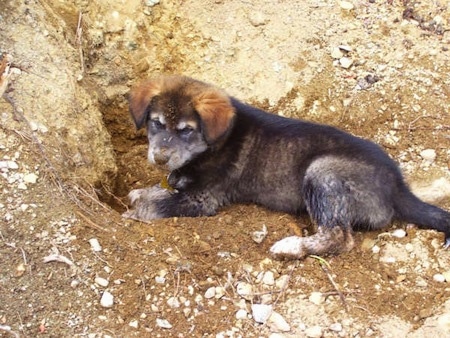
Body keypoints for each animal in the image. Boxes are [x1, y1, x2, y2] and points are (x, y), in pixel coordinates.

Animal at [123, 74, 450, 258]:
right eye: (156, 123)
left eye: (186, 130)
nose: (160, 158)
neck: (212, 144)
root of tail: (398, 186)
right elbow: (162, 190)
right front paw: (143, 192)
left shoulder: (203, 199)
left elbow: (159, 205)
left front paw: (135, 210)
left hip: (322, 171)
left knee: (339, 238)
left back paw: (292, 247)